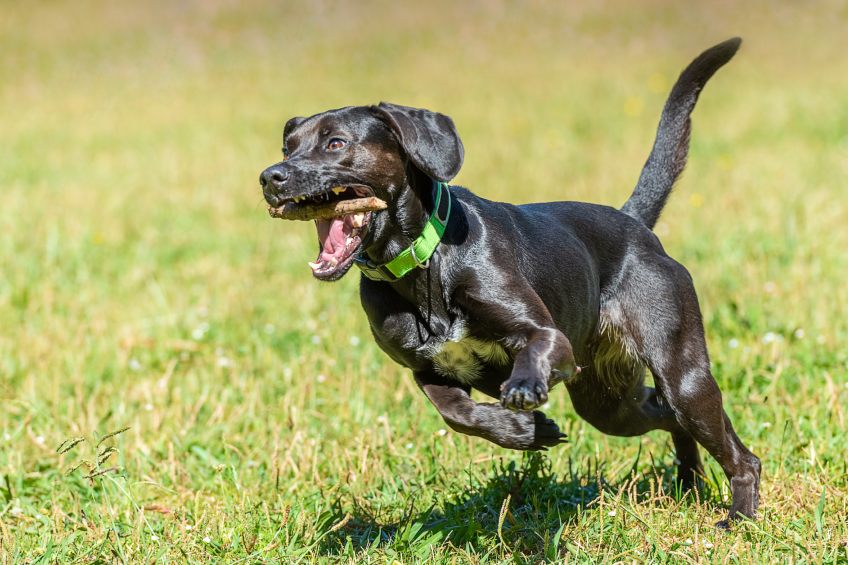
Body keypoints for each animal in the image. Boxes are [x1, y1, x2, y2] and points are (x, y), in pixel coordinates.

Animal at [260, 38, 760, 524]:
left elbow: (529, 355)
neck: (424, 267)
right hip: (608, 402)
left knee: (737, 451)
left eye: (335, 143)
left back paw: (739, 515)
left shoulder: (548, 336)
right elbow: (458, 414)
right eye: (288, 148)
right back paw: (688, 483)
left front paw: (523, 394)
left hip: (682, 374)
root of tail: (635, 224)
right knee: (668, 417)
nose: (270, 176)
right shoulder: (427, 371)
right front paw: (525, 432)